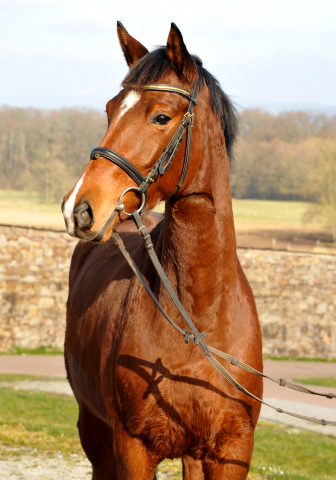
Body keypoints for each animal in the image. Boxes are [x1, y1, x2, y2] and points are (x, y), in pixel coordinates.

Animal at [62, 22, 262, 480]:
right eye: (110, 109)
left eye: (161, 116)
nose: (79, 208)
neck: (197, 322)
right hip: (94, 430)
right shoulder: (132, 448)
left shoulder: (231, 452)